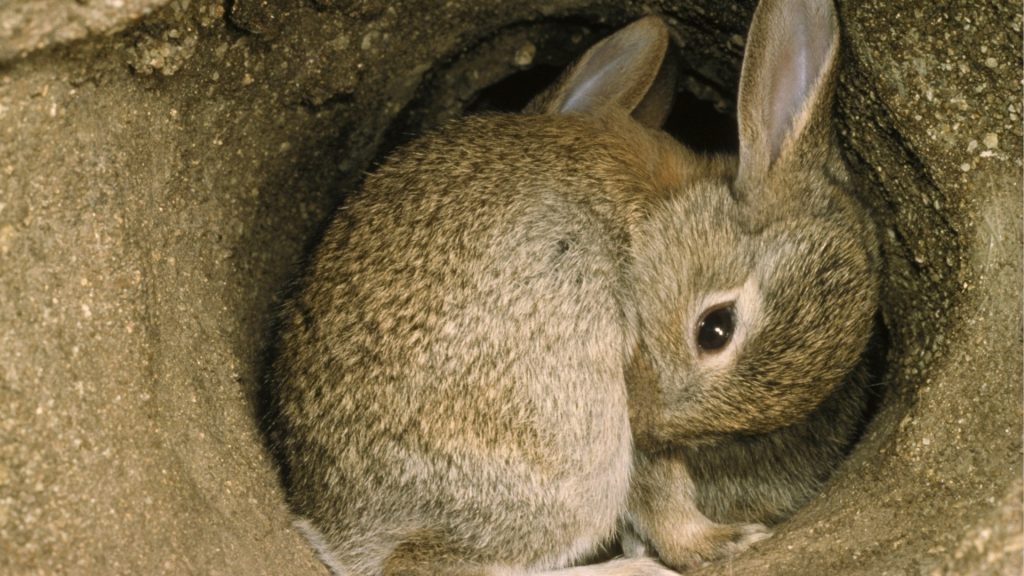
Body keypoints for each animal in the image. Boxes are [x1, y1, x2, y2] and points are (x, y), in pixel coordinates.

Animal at [270, 0, 880, 569]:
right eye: (715, 328)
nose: (650, 430)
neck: (659, 215)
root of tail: (339, 532)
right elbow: (657, 492)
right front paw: (717, 543)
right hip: (574, 445)